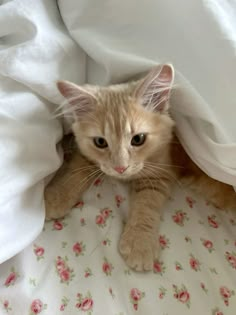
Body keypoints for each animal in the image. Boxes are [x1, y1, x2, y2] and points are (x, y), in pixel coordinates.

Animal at [44, 63, 236, 272]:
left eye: (138, 139)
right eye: (100, 142)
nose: (120, 168)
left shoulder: (160, 172)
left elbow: (146, 204)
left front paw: (140, 242)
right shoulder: (88, 156)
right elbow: (76, 171)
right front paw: (56, 197)